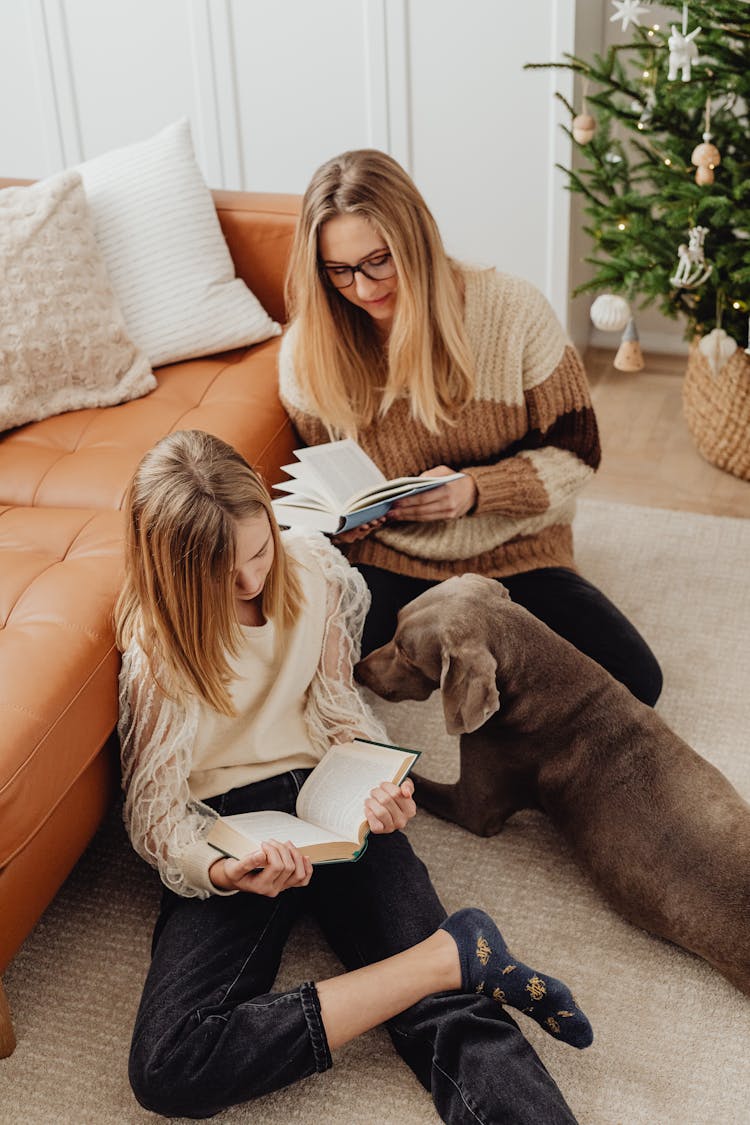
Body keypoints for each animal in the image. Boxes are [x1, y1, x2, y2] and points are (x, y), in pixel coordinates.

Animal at [357, 576, 750, 999]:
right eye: (394, 625)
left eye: (406, 654)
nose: (358, 670)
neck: (539, 681)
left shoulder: (473, 807)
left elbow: (413, 782)